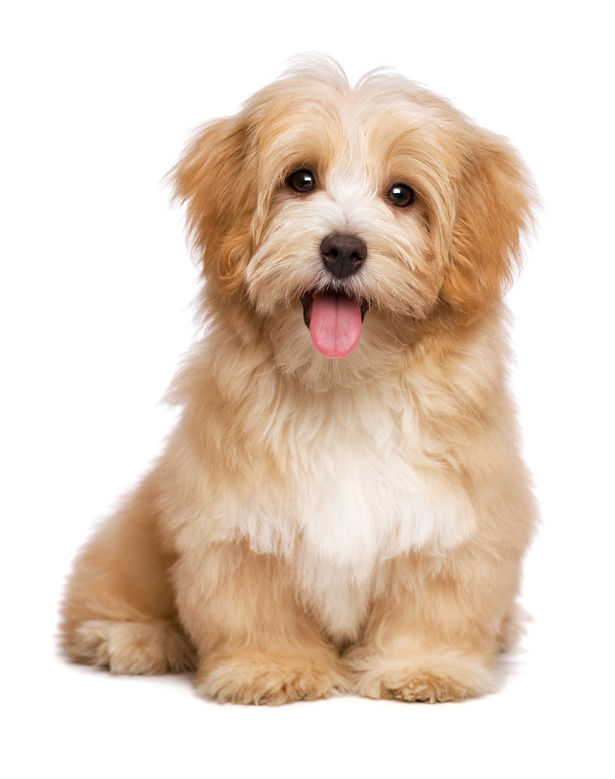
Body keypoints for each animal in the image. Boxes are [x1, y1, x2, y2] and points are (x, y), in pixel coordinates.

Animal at [60, 59, 536, 708]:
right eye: (300, 179)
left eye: (402, 195)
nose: (343, 249)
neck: (343, 384)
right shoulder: (234, 522)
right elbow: (254, 602)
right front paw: (271, 667)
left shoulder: (454, 520)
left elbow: (434, 603)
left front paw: (423, 668)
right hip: (128, 540)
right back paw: (133, 639)